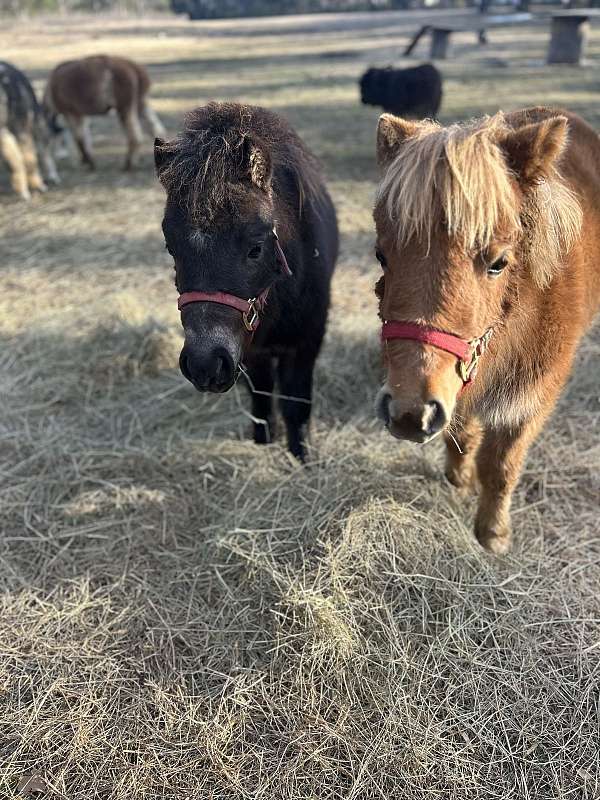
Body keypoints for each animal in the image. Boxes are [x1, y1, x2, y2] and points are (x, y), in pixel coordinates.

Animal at [155, 103, 338, 460]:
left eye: (256, 247)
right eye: (171, 247)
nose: (205, 365)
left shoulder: (306, 343)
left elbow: (297, 403)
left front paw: (302, 456)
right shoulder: (251, 351)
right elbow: (262, 397)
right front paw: (263, 441)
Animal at [372, 106, 596, 552]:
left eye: (498, 262)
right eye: (381, 255)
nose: (409, 414)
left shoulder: (529, 402)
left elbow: (501, 465)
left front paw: (493, 534)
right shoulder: (454, 390)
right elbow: (460, 434)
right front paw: (459, 481)